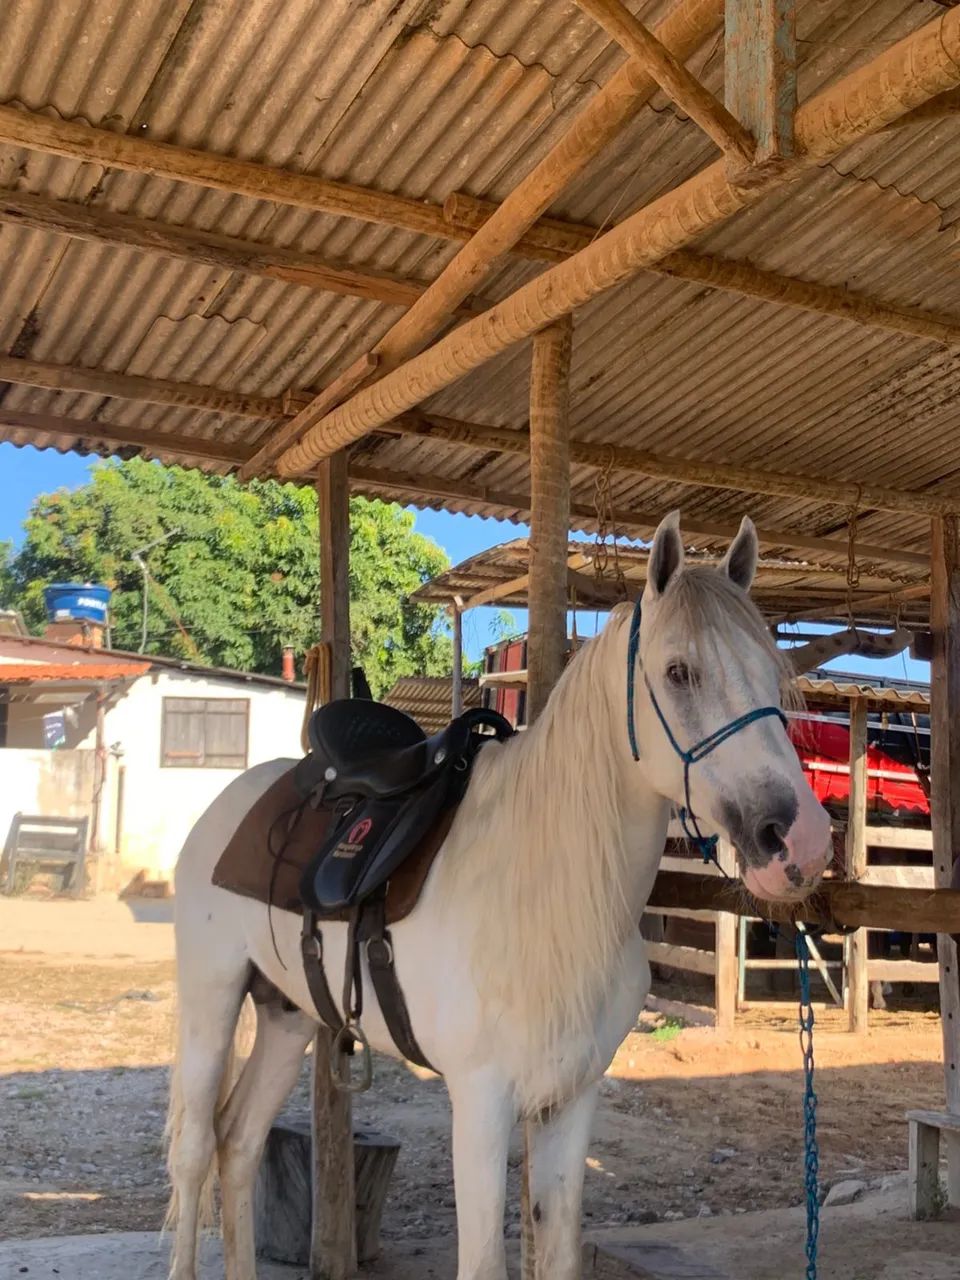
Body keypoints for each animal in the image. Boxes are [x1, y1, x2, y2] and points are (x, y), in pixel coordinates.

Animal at [166, 511, 833, 1280]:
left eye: (772, 673)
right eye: (679, 672)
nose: (800, 840)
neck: (548, 894)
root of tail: (238, 800)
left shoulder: (571, 1102)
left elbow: (560, 1251)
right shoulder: (480, 1103)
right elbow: (484, 1260)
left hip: (289, 1014)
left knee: (239, 1142)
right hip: (211, 997)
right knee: (195, 1153)